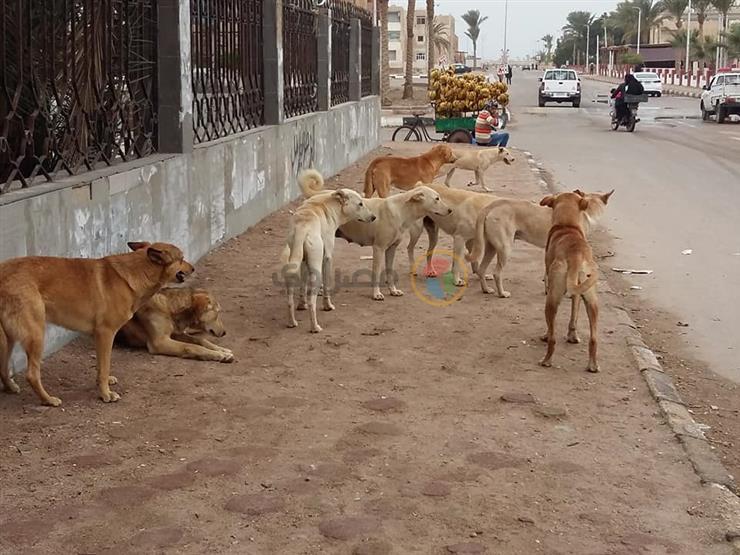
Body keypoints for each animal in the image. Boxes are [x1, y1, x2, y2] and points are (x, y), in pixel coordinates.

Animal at [0, 241, 194, 406]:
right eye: (181, 258)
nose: (193, 268)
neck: (139, 270)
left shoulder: (99, 337)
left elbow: (101, 366)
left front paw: (103, 384)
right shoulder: (106, 333)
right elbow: (105, 365)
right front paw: (105, 394)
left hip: (9, 339)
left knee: (3, 366)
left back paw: (10, 387)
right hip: (36, 335)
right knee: (32, 375)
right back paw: (48, 400)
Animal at [282, 169, 376, 332]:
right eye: (360, 204)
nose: (374, 217)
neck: (329, 204)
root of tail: (302, 228)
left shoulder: (304, 263)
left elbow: (303, 287)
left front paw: (301, 305)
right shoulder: (327, 257)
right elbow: (326, 287)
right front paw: (328, 306)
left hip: (292, 268)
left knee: (290, 300)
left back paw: (292, 322)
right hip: (317, 269)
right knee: (312, 300)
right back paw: (315, 327)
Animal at [300, 169, 450, 302]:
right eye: (437, 199)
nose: (450, 210)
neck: (401, 210)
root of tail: (316, 195)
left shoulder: (391, 249)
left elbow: (389, 271)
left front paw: (393, 290)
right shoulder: (378, 248)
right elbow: (376, 273)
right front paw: (376, 294)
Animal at [536, 191, 600, 374]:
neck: (567, 226)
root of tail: (576, 255)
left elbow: (551, 327)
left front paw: (546, 335)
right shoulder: (577, 294)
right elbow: (574, 316)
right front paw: (573, 336)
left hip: (551, 300)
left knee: (553, 338)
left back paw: (547, 360)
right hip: (592, 300)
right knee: (594, 339)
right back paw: (593, 365)